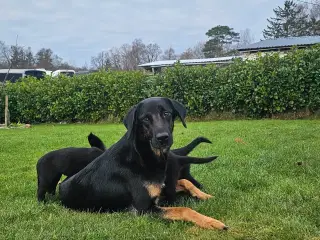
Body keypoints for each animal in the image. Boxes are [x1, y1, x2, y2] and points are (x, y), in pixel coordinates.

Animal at [58, 98, 228, 231]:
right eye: (145, 119)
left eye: (166, 113)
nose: (163, 138)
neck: (143, 155)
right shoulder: (144, 209)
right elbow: (183, 209)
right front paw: (212, 222)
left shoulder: (162, 188)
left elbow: (185, 181)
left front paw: (204, 195)